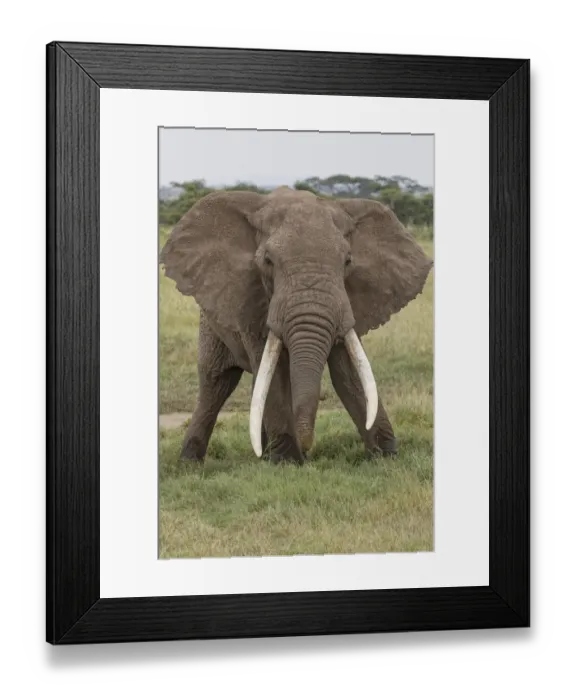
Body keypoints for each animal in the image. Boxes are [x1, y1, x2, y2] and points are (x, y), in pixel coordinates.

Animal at [160, 186, 433, 464]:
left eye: (347, 261)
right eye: (268, 261)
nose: (308, 447)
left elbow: (348, 371)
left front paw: (386, 458)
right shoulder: (253, 300)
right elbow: (275, 371)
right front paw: (287, 462)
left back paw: (262, 454)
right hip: (211, 319)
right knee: (216, 381)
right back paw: (191, 462)